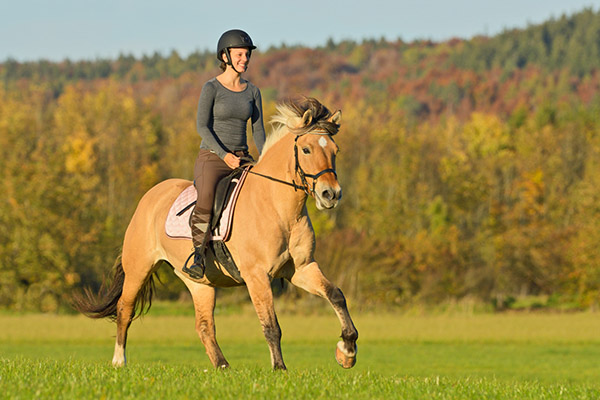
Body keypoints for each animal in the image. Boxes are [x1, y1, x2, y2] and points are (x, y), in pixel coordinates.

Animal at [74, 97, 356, 372]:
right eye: (306, 149)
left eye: (335, 151)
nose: (331, 194)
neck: (279, 208)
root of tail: (151, 195)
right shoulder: (257, 276)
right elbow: (271, 326)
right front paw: (280, 369)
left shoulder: (302, 268)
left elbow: (337, 295)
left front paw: (347, 351)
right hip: (139, 268)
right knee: (125, 309)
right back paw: (119, 361)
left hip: (199, 283)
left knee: (204, 326)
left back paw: (222, 366)